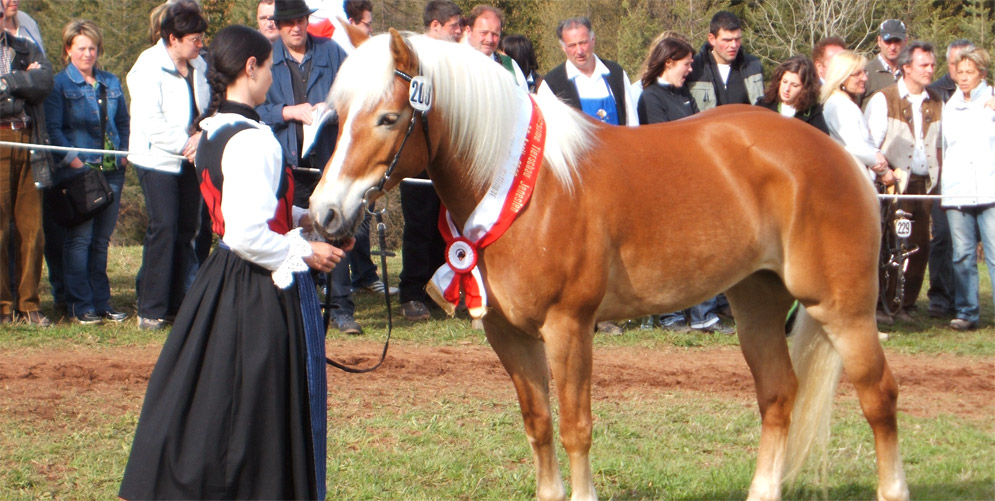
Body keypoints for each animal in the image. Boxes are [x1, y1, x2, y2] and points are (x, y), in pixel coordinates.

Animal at [312, 31, 912, 500]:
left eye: (389, 118)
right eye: (340, 118)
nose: (324, 212)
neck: (529, 190)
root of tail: (841, 157)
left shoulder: (569, 327)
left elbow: (575, 427)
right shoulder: (508, 333)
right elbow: (539, 423)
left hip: (842, 308)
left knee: (879, 397)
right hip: (757, 302)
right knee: (779, 394)